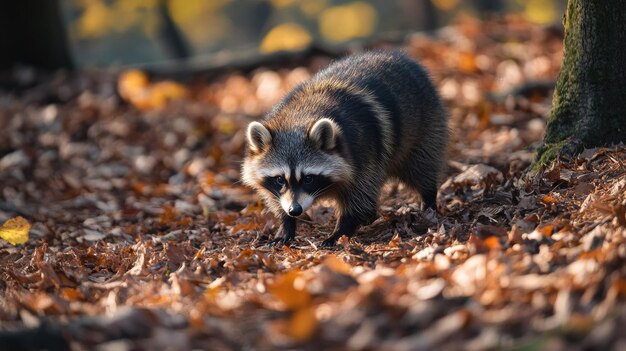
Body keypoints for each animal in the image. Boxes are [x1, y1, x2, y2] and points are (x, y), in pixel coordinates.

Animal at [241, 51, 446, 248]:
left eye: (308, 178)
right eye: (279, 179)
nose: (295, 210)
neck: (299, 118)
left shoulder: (364, 151)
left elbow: (360, 195)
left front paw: (341, 230)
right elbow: (275, 199)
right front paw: (286, 225)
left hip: (427, 124)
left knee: (420, 166)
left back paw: (428, 200)